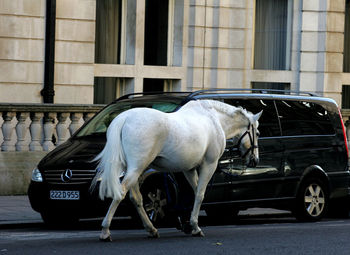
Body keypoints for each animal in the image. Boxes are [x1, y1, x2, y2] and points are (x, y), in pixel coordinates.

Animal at [91, 99, 262, 241]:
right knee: (121, 193)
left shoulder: (189, 169)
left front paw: (189, 224)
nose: (255, 160)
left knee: (136, 198)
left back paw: (151, 229)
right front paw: (195, 226)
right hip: (137, 168)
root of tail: (124, 118)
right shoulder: (209, 164)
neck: (214, 120)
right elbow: (200, 194)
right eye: (257, 133)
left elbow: (194, 192)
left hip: (133, 169)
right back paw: (105, 231)